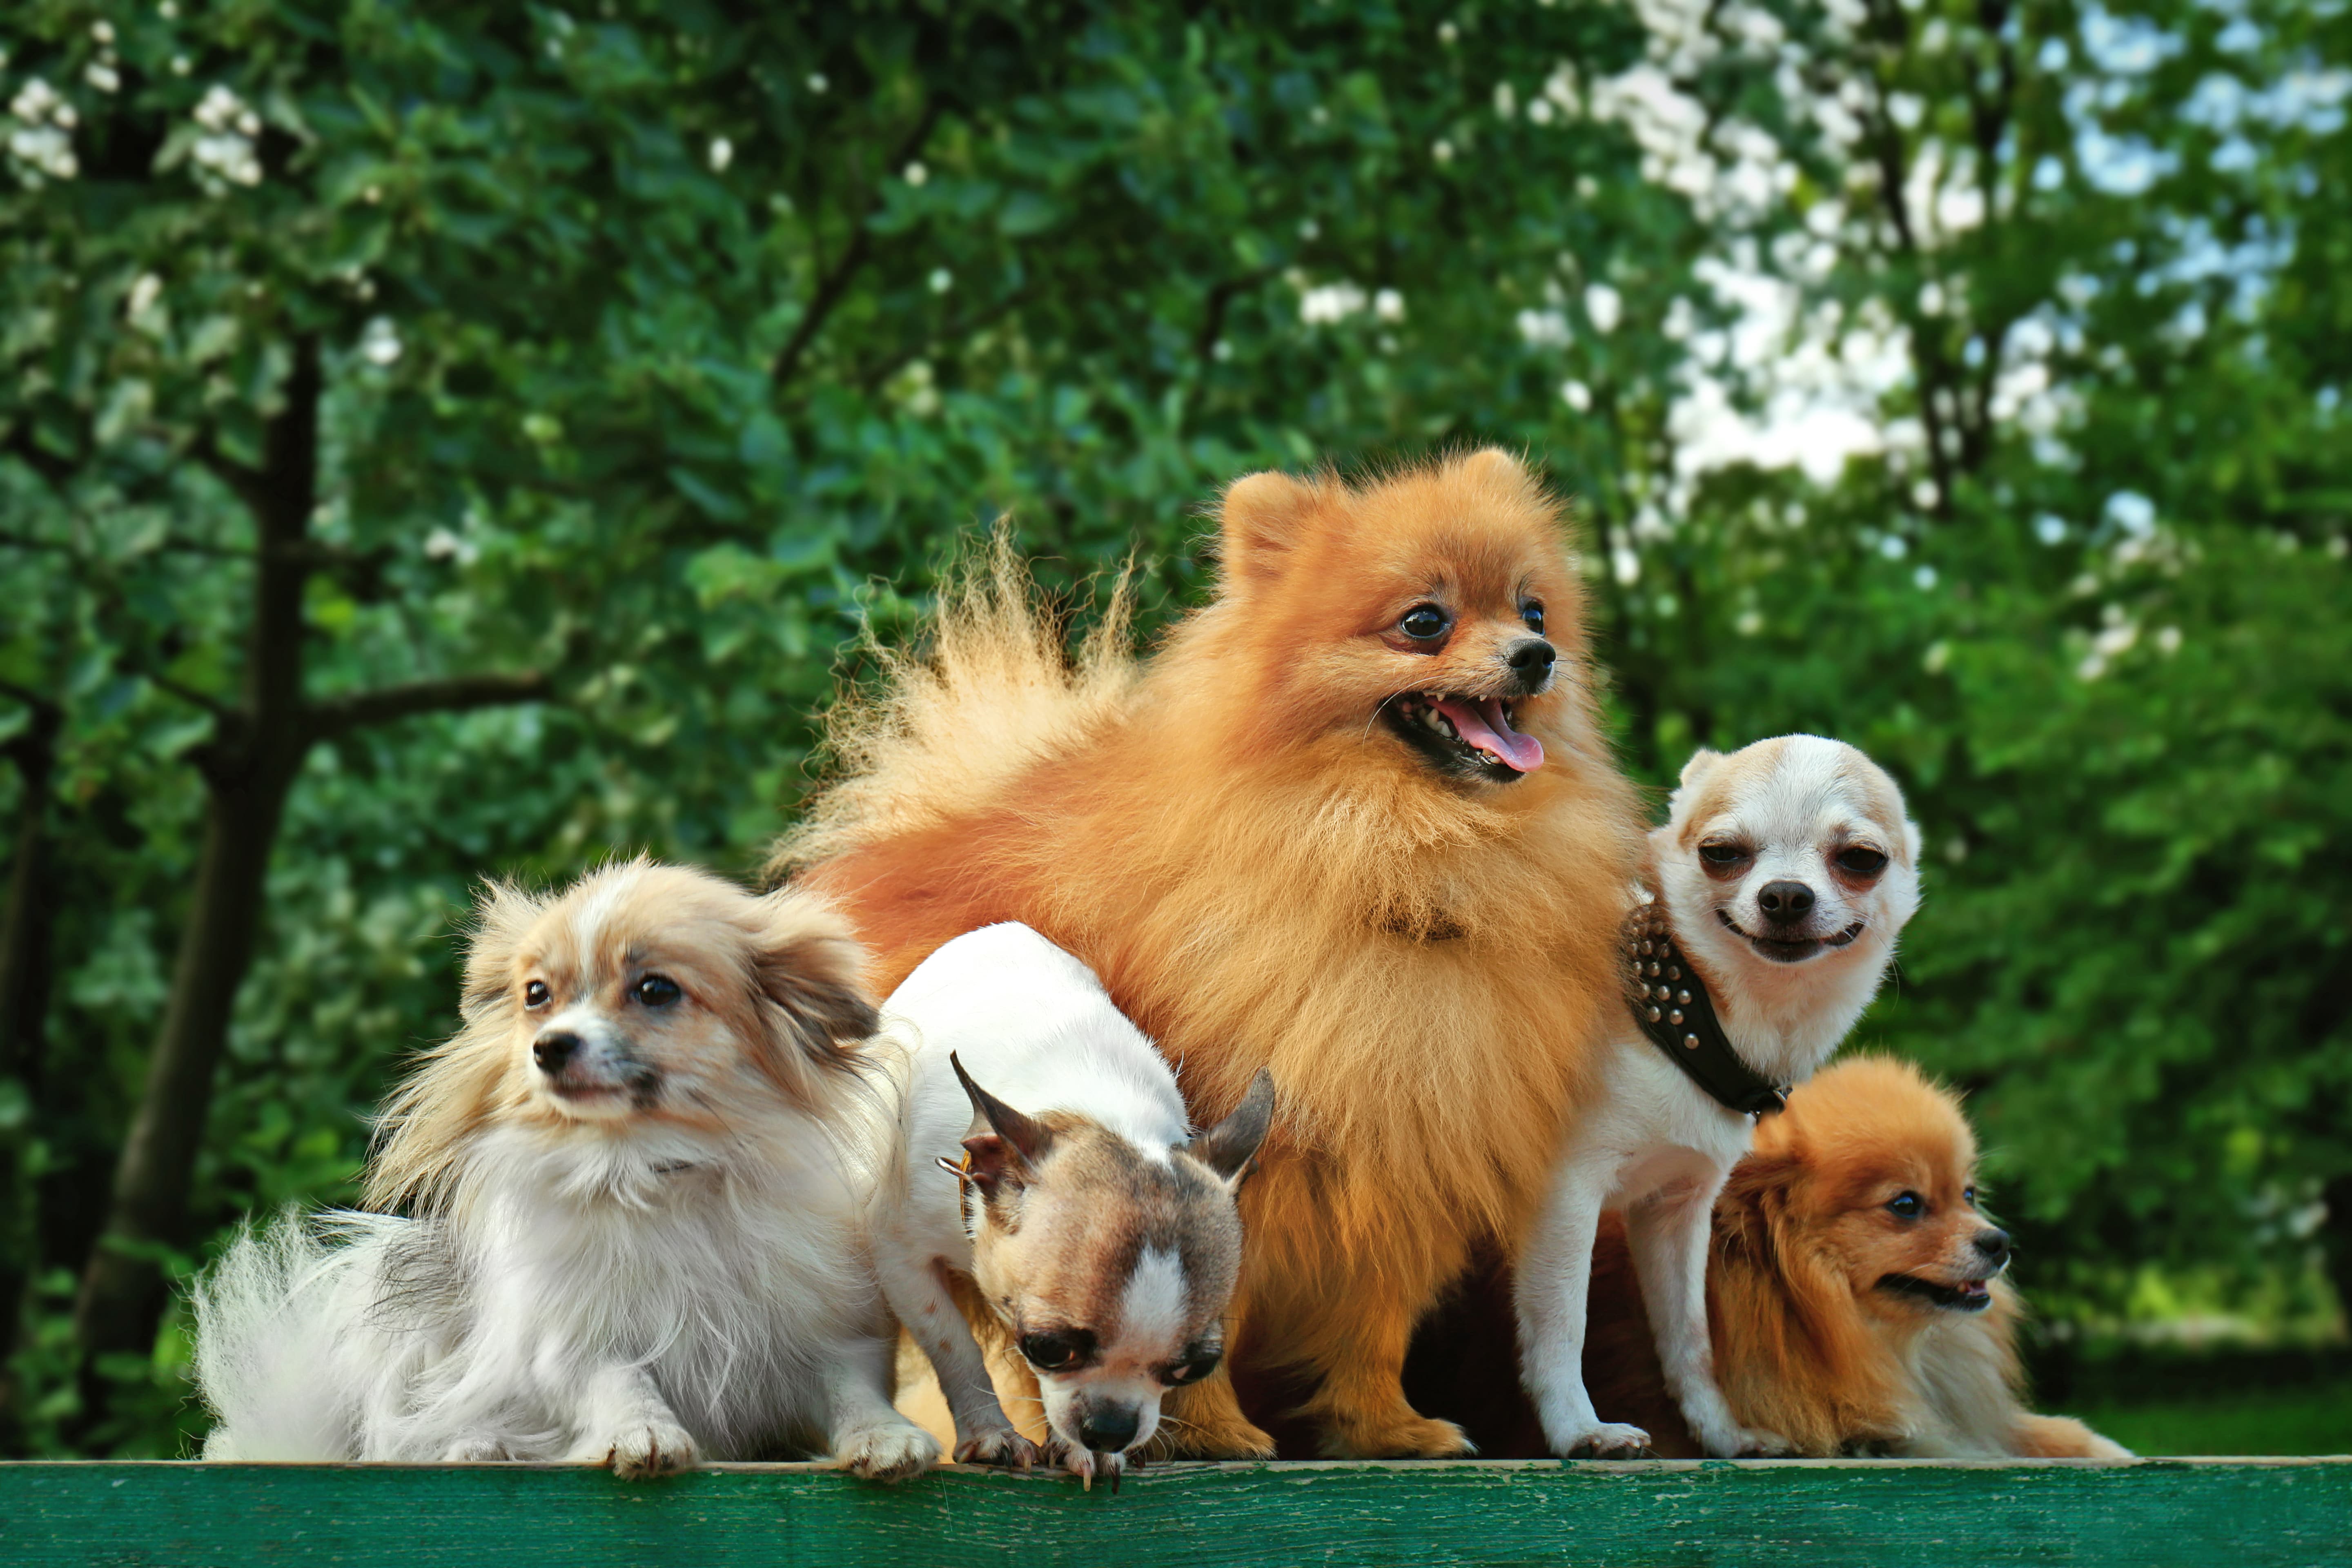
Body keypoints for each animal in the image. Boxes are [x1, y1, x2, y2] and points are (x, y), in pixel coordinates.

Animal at [781, 454, 1646, 1457]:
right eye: (1425, 621)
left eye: (1535, 610)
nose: (1537, 657)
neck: (1399, 870)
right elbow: (1196, 1299)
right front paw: (1209, 1432)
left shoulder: (1410, 1136)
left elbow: (1372, 1314)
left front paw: (1386, 1425)